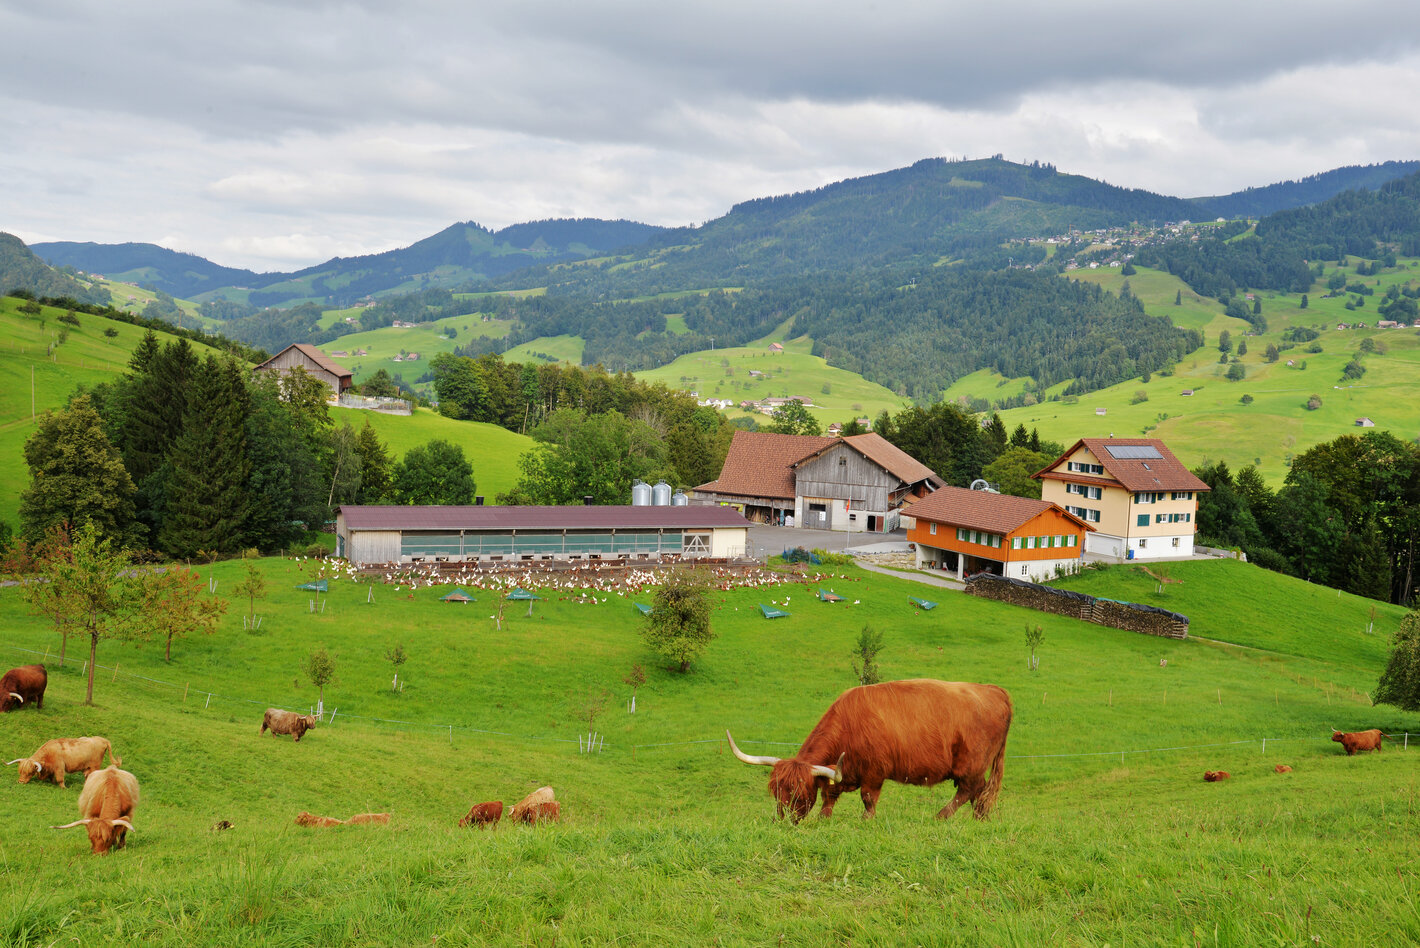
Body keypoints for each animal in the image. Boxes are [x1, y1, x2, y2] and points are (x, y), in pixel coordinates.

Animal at [727, 672, 1016, 823]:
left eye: (799, 793)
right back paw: (979, 819)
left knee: (968, 790)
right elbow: (829, 797)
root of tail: (994, 689)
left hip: (972, 764)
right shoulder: (840, 773)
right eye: (776, 791)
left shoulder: (875, 773)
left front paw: (866, 821)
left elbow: (868, 800)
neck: (849, 727)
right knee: (977, 792)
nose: (783, 821)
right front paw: (823, 819)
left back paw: (941, 817)